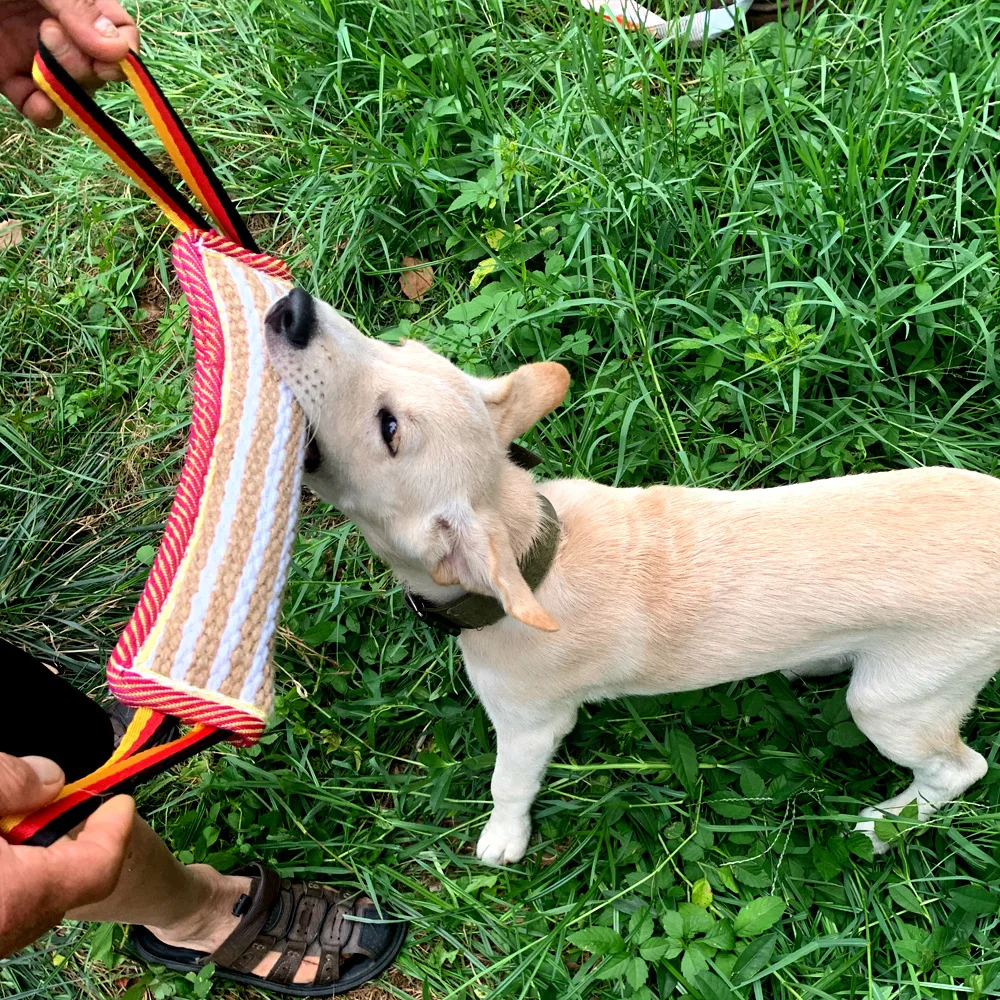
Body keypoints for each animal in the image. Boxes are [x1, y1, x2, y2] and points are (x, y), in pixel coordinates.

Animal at [262, 288, 996, 860]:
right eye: (401, 344)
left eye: (388, 428)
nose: (292, 308)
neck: (532, 551)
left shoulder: (531, 724)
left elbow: (509, 783)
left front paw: (503, 838)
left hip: (895, 700)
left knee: (961, 769)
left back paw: (887, 823)